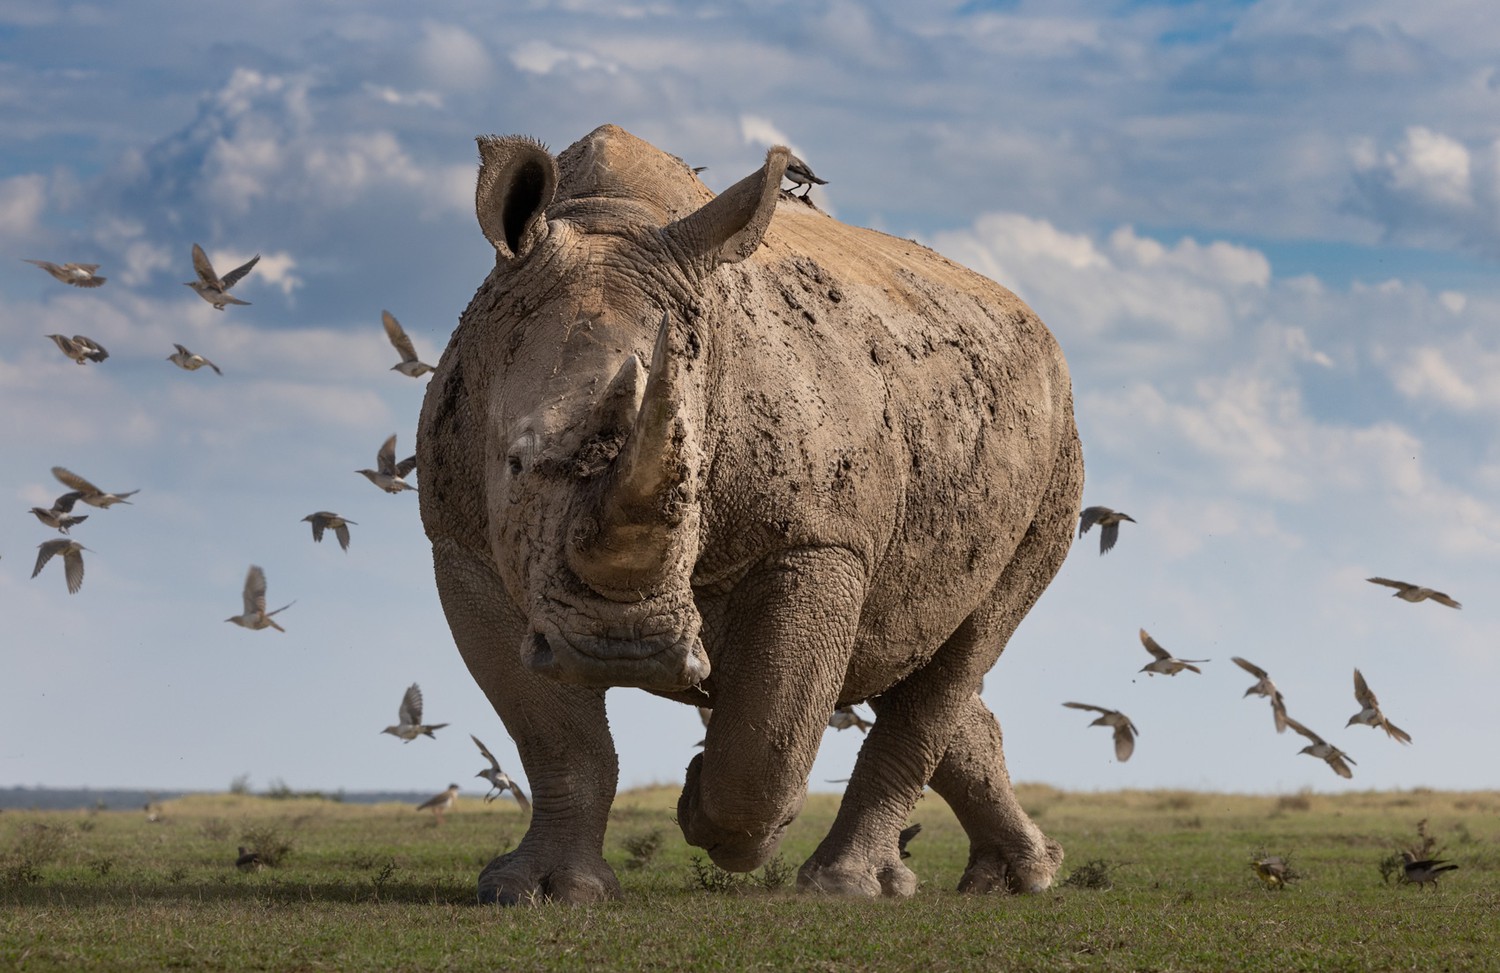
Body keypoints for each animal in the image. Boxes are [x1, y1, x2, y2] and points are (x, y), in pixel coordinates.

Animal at [417, 124, 1083, 904]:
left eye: (699, 476)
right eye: (517, 463)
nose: (622, 650)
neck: (611, 218)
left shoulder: (821, 539)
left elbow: (769, 734)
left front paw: (715, 819)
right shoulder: (459, 540)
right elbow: (556, 737)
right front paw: (540, 890)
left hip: (1058, 454)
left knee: (965, 642)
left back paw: (855, 887)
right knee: (914, 649)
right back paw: (1009, 876)